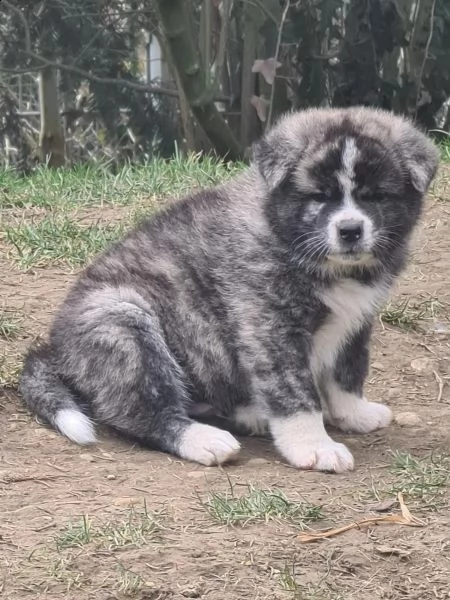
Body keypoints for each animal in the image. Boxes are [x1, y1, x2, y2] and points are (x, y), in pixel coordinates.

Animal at [19, 108, 438, 474]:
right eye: (319, 196)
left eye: (374, 196)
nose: (350, 230)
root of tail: (55, 351)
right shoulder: (270, 326)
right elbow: (295, 394)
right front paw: (314, 447)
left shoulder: (355, 320)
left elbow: (347, 371)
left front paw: (354, 413)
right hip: (122, 319)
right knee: (140, 409)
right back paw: (202, 439)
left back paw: (249, 414)